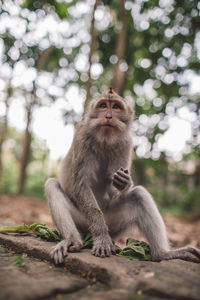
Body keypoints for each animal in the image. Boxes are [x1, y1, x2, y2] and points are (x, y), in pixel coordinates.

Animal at [45, 88, 200, 264]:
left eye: (116, 107)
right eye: (103, 105)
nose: (108, 116)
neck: (104, 139)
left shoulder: (126, 142)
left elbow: (117, 189)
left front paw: (125, 182)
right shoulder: (82, 137)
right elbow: (80, 186)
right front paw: (102, 238)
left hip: (114, 225)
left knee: (139, 194)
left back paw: (163, 254)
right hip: (84, 221)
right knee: (51, 185)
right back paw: (74, 240)